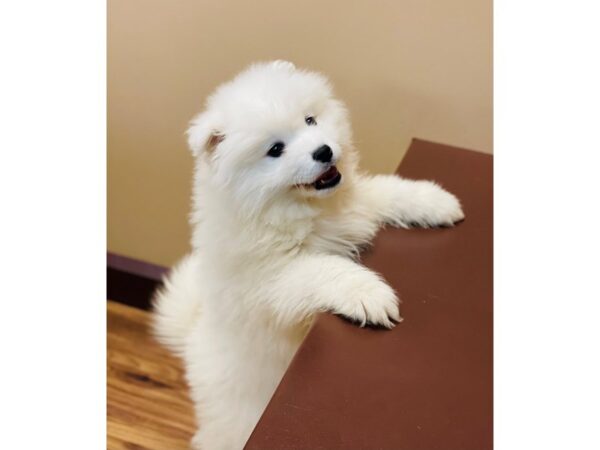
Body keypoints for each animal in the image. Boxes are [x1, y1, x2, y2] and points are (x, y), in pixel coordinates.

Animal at [151, 60, 464, 450]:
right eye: (276, 149)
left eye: (310, 121)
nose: (324, 151)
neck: (301, 210)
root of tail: (192, 339)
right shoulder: (272, 282)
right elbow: (323, 268)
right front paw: (369, 295)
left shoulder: (355, 206)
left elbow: (387, 190)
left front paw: (434, 201)